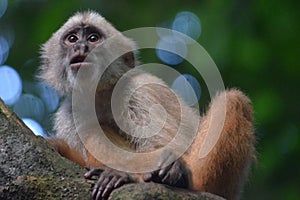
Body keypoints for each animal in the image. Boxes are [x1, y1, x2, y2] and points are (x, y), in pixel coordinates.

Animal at [38, 10, 255, 200]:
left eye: (93, 38)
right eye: (72, 38)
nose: (81, 46)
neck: (101, 95)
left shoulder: (139, 90)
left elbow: (165, 145)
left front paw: (130, 176)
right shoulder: (68, 112)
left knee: (234, 101)